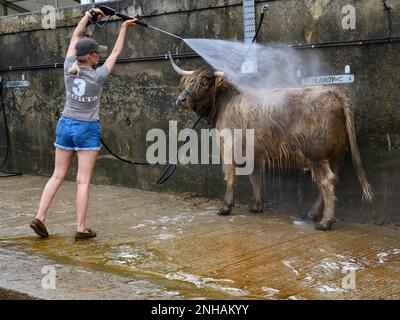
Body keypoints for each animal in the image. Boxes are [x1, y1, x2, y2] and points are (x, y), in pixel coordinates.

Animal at [168, 54, 372, 230]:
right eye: (189, 81)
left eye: (203, 83)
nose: (181, 99)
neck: (224, 103)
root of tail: (333, 91)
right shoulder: (254, 152)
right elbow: (255, 176)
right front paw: (256, 206)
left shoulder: (228, 146)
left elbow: (231, 175)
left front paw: (226, 207)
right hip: (334, 155)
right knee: (332, 180)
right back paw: (313, 213)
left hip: (316, 154)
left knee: (327, 181)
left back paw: (325, 222)